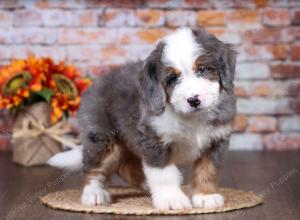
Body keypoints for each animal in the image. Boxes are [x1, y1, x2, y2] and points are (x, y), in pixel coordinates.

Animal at [49, 27, 237, 210]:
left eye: (202, 69)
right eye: (173, 78)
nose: (193, 100)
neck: (192, 119)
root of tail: (96, 83)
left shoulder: (216, 140)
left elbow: (208, 169)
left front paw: (206, 196)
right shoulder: (153, 140)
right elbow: (163, 173)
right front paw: (171, 199)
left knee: (126, 167)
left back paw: (146, 184)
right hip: (103, 138)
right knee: (92, 167)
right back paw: (94, 194)